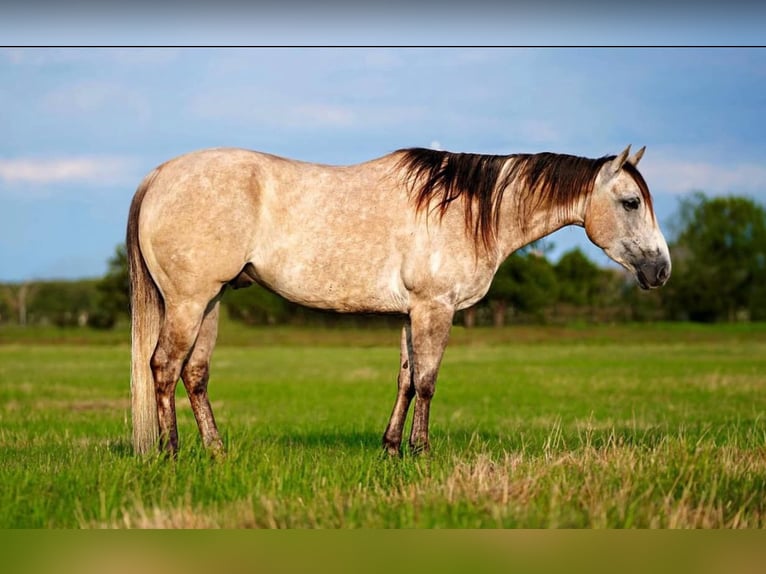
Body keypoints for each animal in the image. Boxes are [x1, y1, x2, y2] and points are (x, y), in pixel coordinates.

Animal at [127, 144, 671, 457]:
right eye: (631, 202)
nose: (661, 269)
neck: (465, 210)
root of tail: (159, 175)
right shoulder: (436, 308)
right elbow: (428, 382)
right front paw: (422, 452)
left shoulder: (412, 312)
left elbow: (406, 380)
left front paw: (391, 450)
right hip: (189, 302)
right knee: (164, 368)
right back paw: (171, 453)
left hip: (211, 302)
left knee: (195, 375)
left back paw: (217, 452)